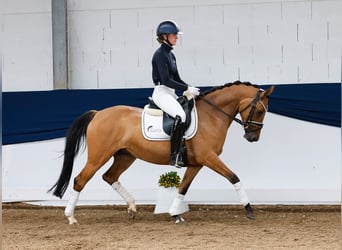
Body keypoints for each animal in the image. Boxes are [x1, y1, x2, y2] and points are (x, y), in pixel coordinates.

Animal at [49, 81, 276, 224]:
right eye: (259, 111)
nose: (252, 137)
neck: (212, 115)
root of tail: (97, 114)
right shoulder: (209, 158)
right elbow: (234, 177)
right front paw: (249, 209)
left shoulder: (197, 163)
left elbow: (183, 187)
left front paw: (175, 214)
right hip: (98, 156)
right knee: (80, 180)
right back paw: (71, 217)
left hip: (125, 156)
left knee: (109, 176)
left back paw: (132, 208)